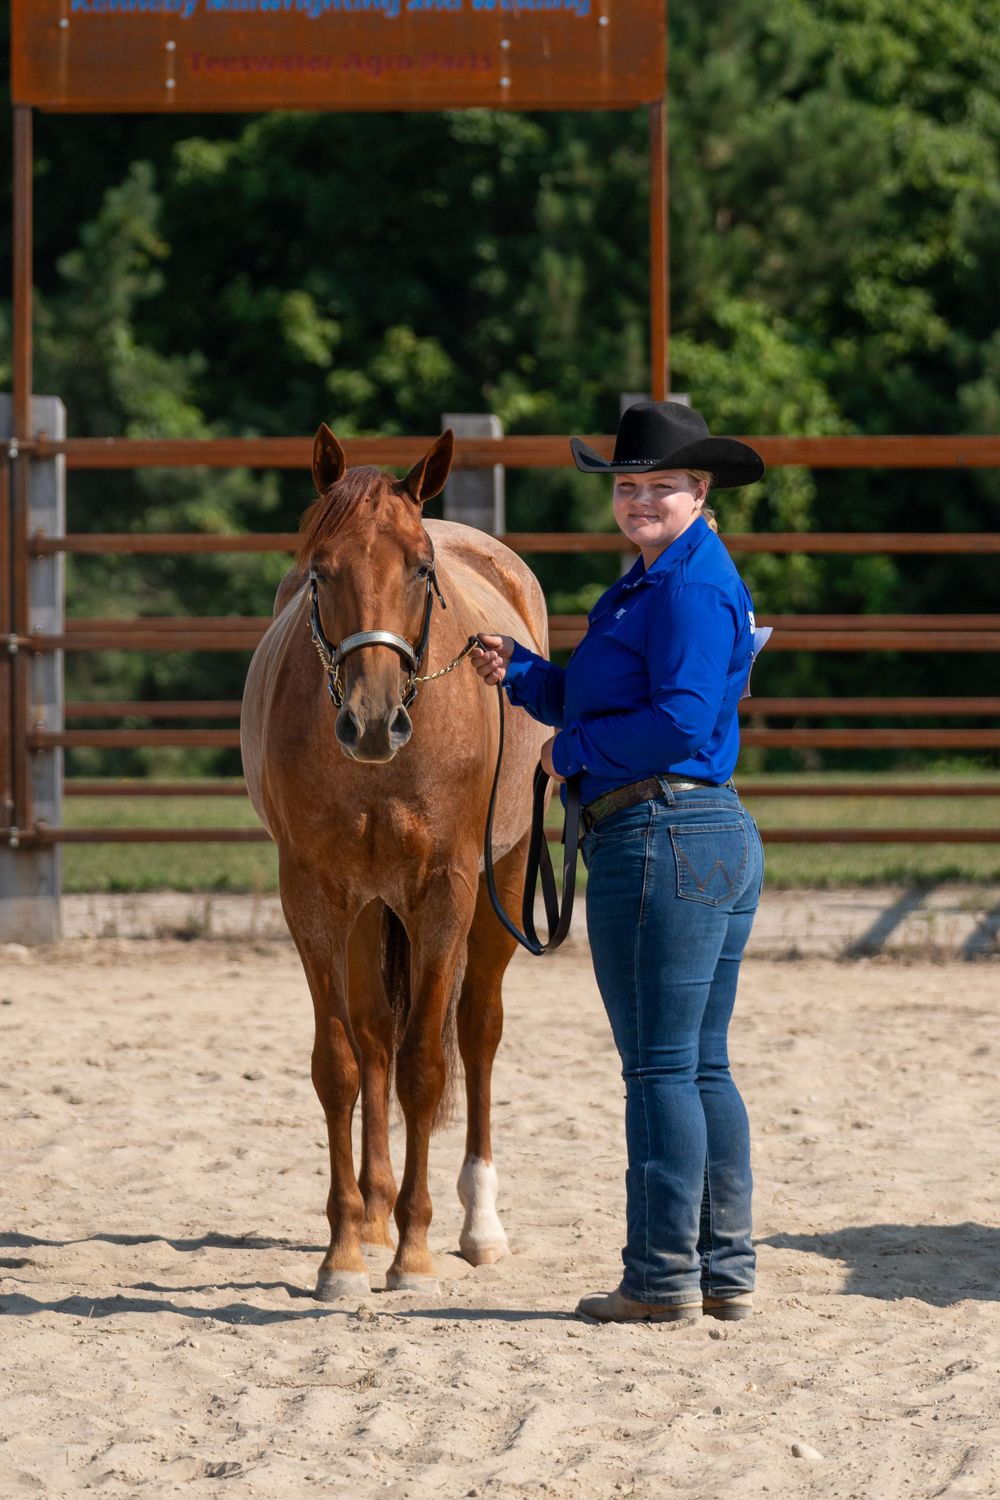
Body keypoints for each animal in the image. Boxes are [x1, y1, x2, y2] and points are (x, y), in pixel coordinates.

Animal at [240, 425, 549, 1298]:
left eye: (419, 568)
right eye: (321, 569)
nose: (372, 720)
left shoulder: (445, 891)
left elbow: (424, 1065)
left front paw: (415, 1252)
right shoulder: (313, 896)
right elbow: (342, 1063)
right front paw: (347, 1250)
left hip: (502, 884)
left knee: (475, 1032)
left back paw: (478, 1226)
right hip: (368, 910)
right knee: (375, 1032)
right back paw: (375, 1212)